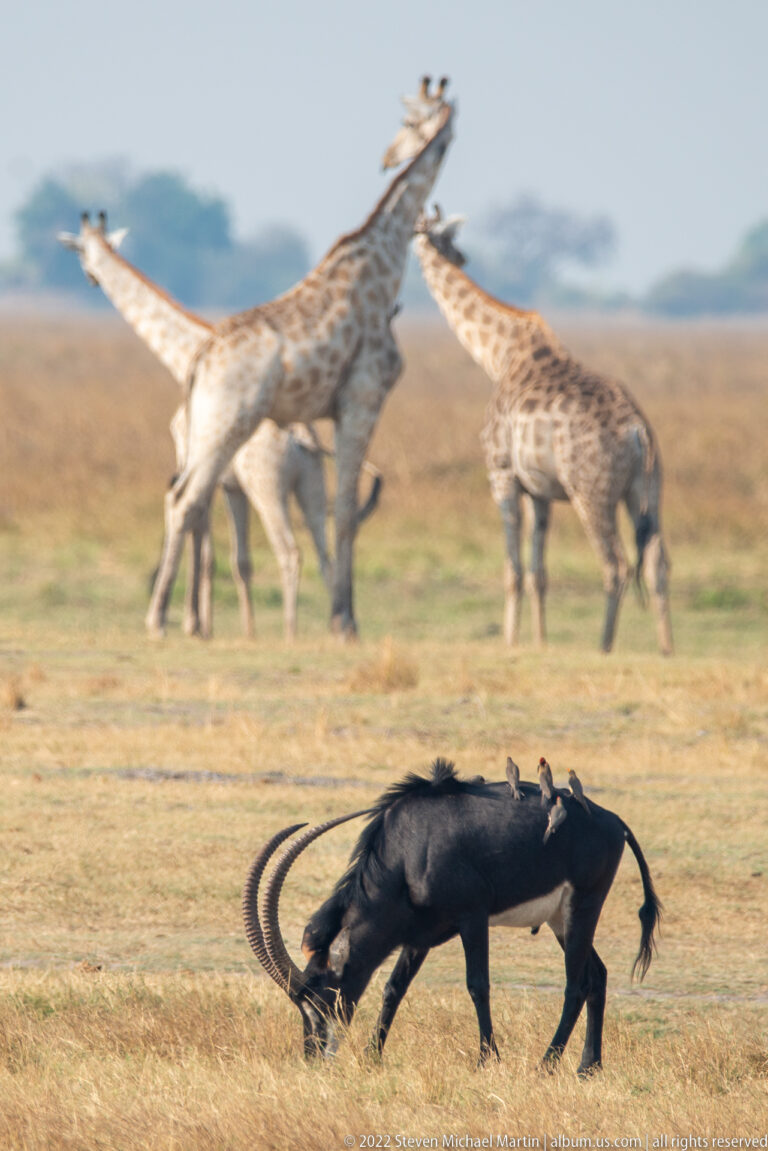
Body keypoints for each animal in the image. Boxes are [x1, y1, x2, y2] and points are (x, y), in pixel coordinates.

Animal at [58, 216, 380, 641]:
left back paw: (291, 633)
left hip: (267, 486)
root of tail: (300, 439)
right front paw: (237, 629)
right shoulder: (228, 484)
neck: (187, 352)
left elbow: (201, 540)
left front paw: (195, 624)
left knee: (290, 552)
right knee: (326, 551)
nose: (91, 278)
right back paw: (339, 626)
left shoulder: (197, 463)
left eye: (83, 254)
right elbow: (236, 559)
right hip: (310, 483)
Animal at [413, 209, 673, 655]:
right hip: (645, 490)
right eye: (450, 243)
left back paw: (604, 646)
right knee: (658, 562)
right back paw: (666, 647)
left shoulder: (501, 474)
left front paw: (511, 641)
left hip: (592, 491)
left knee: (616, 564)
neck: (498, 355)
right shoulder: (539, 490)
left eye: (425, 235)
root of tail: (639, 431)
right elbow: (539, 572)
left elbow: (513, 570)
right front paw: (540, 640)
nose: (461, 257)